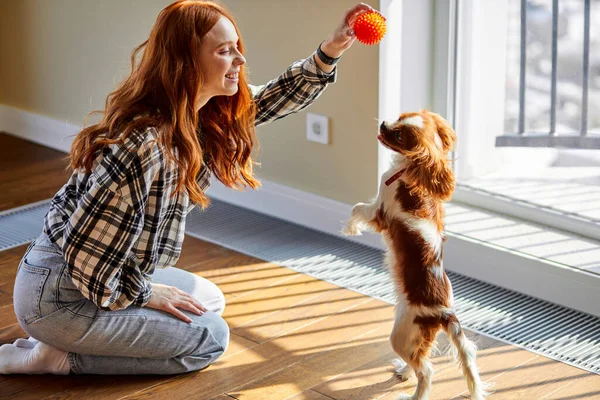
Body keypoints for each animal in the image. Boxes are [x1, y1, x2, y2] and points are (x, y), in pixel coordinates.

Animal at [340, 109, 490, 400]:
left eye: (399, 136)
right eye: (400, 117)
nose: (384, 124)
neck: (410, 168)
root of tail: (444, 312)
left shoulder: (379, 210)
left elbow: (357, 208)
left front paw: (350, 229)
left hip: (401, 334)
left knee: (427, 371)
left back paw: (415, 394)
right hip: (415, 335)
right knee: (422, 358)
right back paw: (405, 372)